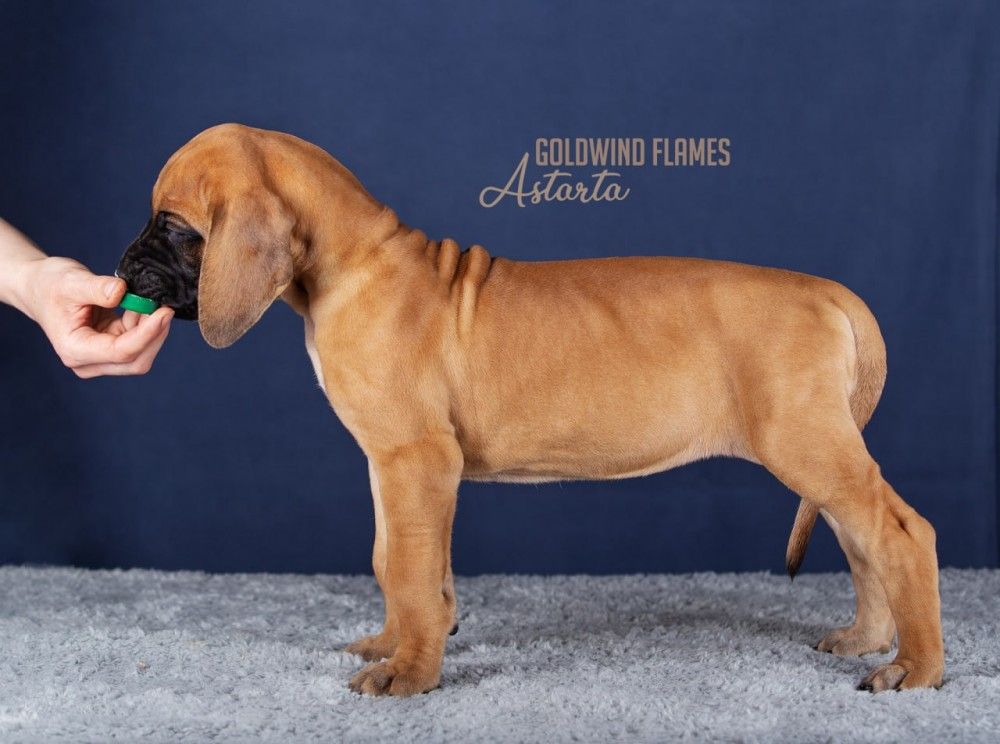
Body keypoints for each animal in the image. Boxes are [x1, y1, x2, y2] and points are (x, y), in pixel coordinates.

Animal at [116, 123, 944, 696]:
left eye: (174, 228)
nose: (122, 269)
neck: (354, 266)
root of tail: (827, 292)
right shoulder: (393, 465)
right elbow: (399, 560)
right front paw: (398, 642)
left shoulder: (417, 459)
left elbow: (408, 564)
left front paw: (409, 676)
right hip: (820, 449)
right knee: (862, 537)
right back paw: (870, 638)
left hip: (805, 442)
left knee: (903, 534)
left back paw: (916, 668)